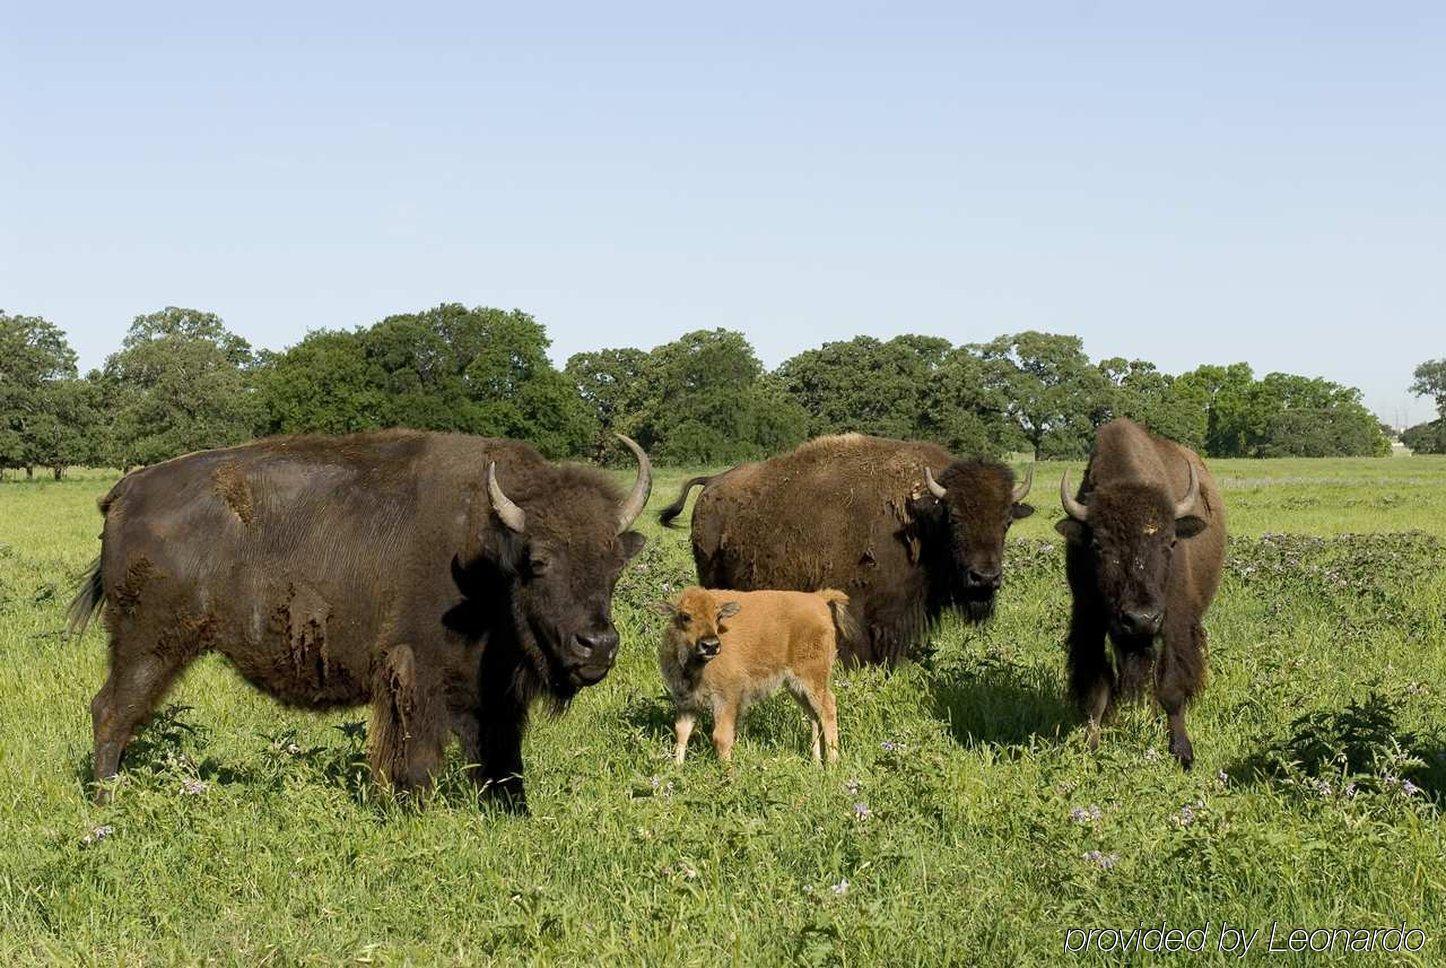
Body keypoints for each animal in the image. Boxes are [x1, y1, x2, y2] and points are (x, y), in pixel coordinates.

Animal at [69, 431, 650, 810]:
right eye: (539, 562)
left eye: (614, 565)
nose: (598, 644)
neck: (485, 546)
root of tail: (126, 490)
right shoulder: (417, 674)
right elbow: (418, 758)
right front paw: (415, 811)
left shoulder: (495, 694)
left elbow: (502, 759)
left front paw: (513, 813)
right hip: (149, 644)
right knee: (112, 711)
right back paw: (106, 806)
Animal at [656, 431, 1029, 665]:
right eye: (953, 518)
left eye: (1007, 520)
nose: (985, 578)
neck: (920, 514)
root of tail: (712, 483)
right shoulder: (861, 611)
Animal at [1058, 419, 1226, 763]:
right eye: (1098, 544)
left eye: (1170, 542)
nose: (1141, 619)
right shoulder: (1088, 620)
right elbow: (1097, 688)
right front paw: (1090, 748)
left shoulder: (1174, 621)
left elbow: (1171, 688)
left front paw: (1182, 752)